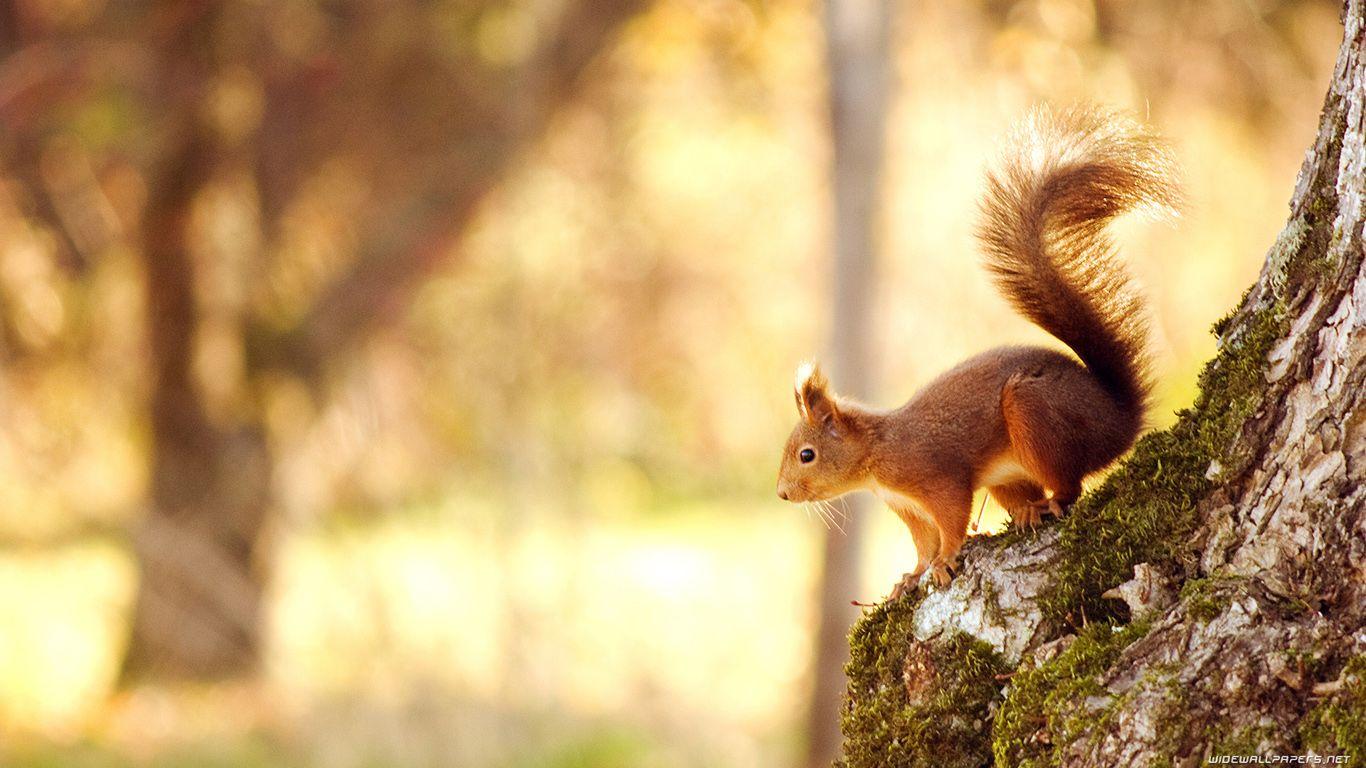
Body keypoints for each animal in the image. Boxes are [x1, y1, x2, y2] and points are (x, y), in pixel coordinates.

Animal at [775, 105, 1179, 596]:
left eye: (806, 455)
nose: (782, 493)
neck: (876, 453)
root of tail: (1120, 418)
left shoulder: (934, 476)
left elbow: (951, 519)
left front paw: (946, 560)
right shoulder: (907, 507)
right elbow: (923, 541)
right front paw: (912, 575)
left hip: (1034, 414)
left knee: (1069, 487)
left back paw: (1047, 505)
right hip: (1009, 472)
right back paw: (1026, 510)